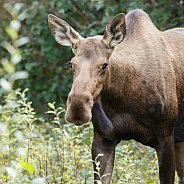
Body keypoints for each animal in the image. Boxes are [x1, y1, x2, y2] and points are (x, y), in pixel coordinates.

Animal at [48, 9, 184, 184]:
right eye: (71, 64)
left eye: (104, 65)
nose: (78, 108)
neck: (124, 101)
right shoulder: (103, 139)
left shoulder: (166, 138)